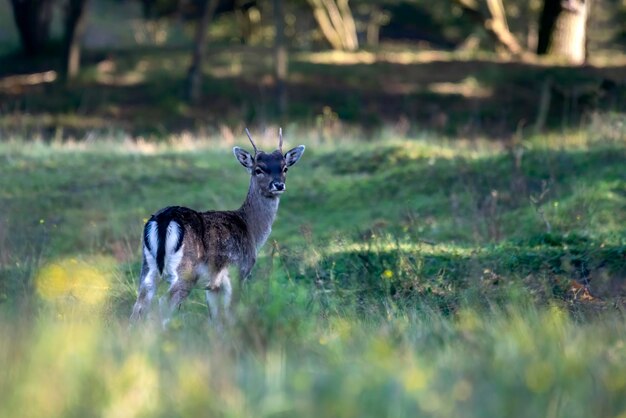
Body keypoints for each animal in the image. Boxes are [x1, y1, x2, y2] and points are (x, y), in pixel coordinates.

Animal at [130, 129, 306, 324]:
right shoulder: (239, 272)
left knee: (139, 306)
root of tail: (164, 220)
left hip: (148, 267)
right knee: (163, 304)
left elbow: (216, 320)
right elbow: (230, 315)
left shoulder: (212, 285)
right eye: (258, 169)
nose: (278, 185)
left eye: (285, 168)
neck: (251, 230)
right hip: (186, 272)